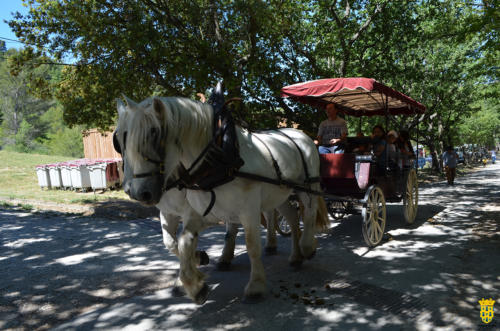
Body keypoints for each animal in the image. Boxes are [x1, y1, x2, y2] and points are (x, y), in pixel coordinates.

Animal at [115, 95, 330, 304]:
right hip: (280, 193)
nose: (137, 192)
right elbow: (180, 242)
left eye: (154, 134)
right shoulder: (192, 211)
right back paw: (295, 256)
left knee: (309, 212)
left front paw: (256, 286)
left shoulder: (247, 210)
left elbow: (251, 245)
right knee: (292, 218)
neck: (219, 158)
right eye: (118, 141)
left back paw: (307, 246)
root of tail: (301, 134)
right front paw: (195, 283)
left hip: (307, 187)